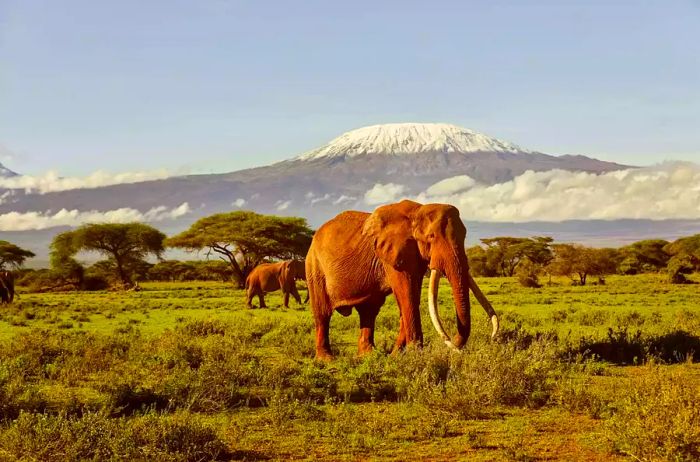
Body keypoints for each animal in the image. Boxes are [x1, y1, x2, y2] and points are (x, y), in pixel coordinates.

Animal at [306, 199, 498, 360]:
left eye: (464, 235)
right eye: (431, 237)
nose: (456, 346)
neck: (418, 210)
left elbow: (411, 294)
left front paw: (397, 355)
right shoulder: (393, 253)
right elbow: (407, 293)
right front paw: (414, 353)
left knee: (369, 311)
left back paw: (368, 356)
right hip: (314, 266)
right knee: (323, 313)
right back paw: (326, 360)